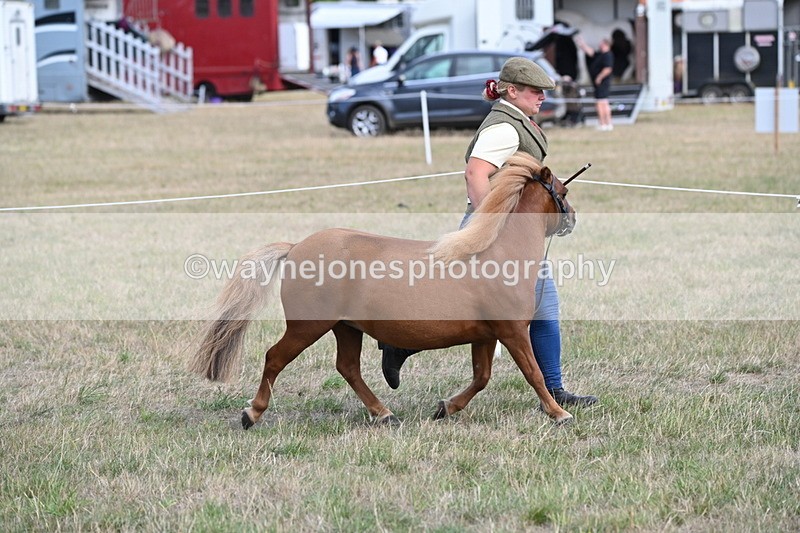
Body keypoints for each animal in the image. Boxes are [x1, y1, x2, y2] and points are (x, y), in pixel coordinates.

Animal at [190, 152, 577, 428]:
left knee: (347, 368)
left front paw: (445, 407)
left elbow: (481, 377)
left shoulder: (486, 335)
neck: (498, 253)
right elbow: (533, 372)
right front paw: (559, 413)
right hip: (308, 326)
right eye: (563, 191)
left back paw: (383, 413)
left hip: (345, 328)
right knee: (275, 358)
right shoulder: (512, 332)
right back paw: (252, 413)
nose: (572, 217)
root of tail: (297, 246)